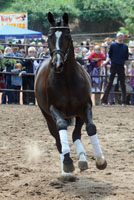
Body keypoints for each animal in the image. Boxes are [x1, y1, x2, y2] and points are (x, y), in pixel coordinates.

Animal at [35, 11, 107, 176]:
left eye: (67, 36)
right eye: (49, 36)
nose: (57, 64)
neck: (67, 79)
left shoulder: (85, 106)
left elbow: (90, 128)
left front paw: (100, 160)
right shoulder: (53, 109)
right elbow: (61, 129)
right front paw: (67, 163)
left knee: (75, 134)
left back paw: (82, 159)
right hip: (47, 116)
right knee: (58, 138)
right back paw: (66, 170)